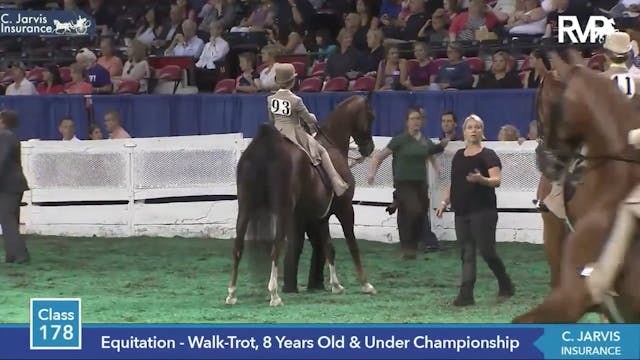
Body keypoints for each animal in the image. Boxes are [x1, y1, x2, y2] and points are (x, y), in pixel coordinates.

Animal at [225, 94, 376, 306]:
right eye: (370, 116)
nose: (369, 148)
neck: (332, 145)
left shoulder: (320, 217)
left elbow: (328, 248)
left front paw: (336, 285)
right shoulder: (345, 209)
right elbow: (352, 245)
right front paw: (366, 285)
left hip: (245, 209)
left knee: (238, 247)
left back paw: (232, 293)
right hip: (282, 211)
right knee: (276, 247)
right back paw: (274, 295)